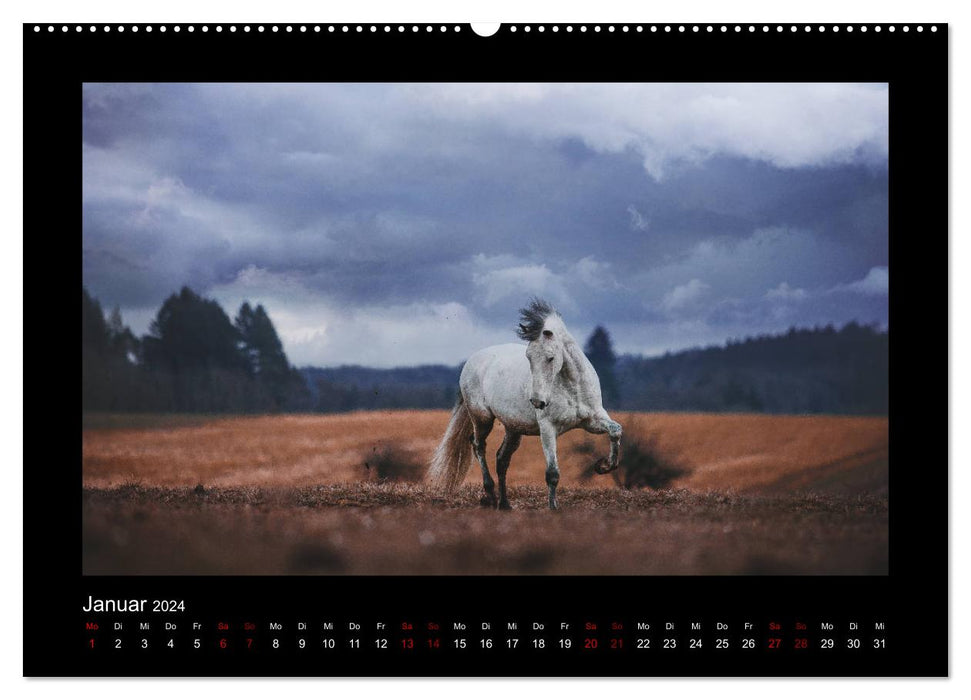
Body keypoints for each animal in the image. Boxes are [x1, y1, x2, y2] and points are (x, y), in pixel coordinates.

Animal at [430, 296, 624, 508]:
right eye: (528, 357)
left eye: (550, 357)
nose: (538, 402)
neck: (573, 387)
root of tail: (472, 361)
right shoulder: (548, 428)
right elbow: (552, 474)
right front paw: (553, 508)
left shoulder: (592, 421)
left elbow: (615, 430)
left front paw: (604, 466)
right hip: (482, 419)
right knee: (478, 445)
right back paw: (490, 495)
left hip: (513, 428)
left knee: (501, 458)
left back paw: (504, 504)